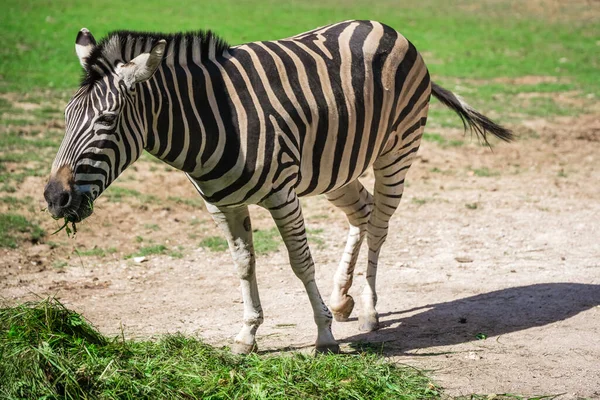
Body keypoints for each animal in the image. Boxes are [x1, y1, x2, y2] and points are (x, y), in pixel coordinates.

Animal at [44, 20, 512, 354]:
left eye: (107, 121)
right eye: (65, 116)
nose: (54, 197)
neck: (213, 120)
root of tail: (386, 27)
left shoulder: (282, 195)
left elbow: (300, 263)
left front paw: (324, 336)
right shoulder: (222, 205)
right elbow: (243, 265)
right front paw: (247, 336)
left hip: (396, 153)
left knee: (379, 224)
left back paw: (368, 309)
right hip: (334, 168)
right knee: (361, 211)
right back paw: (343, 299)